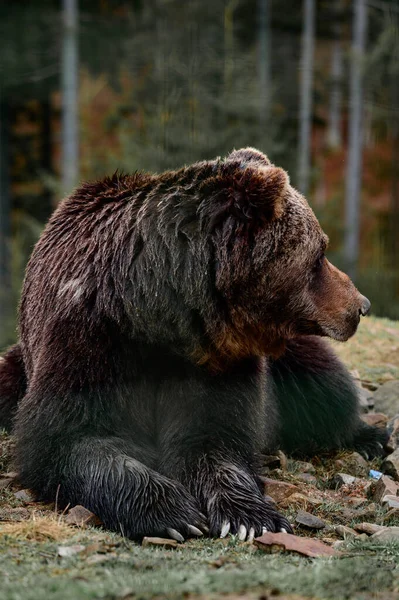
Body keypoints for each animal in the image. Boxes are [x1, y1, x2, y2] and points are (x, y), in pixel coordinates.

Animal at [0, 148, 388, 540]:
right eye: (320, 254)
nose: (361, 305)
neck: (156, 315)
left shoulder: (218, 360)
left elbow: (214, 440)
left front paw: (250, 517)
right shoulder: (91, 338)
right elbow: (72, 439)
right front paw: (172, 512)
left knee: (324, 388)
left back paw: (370, 437)